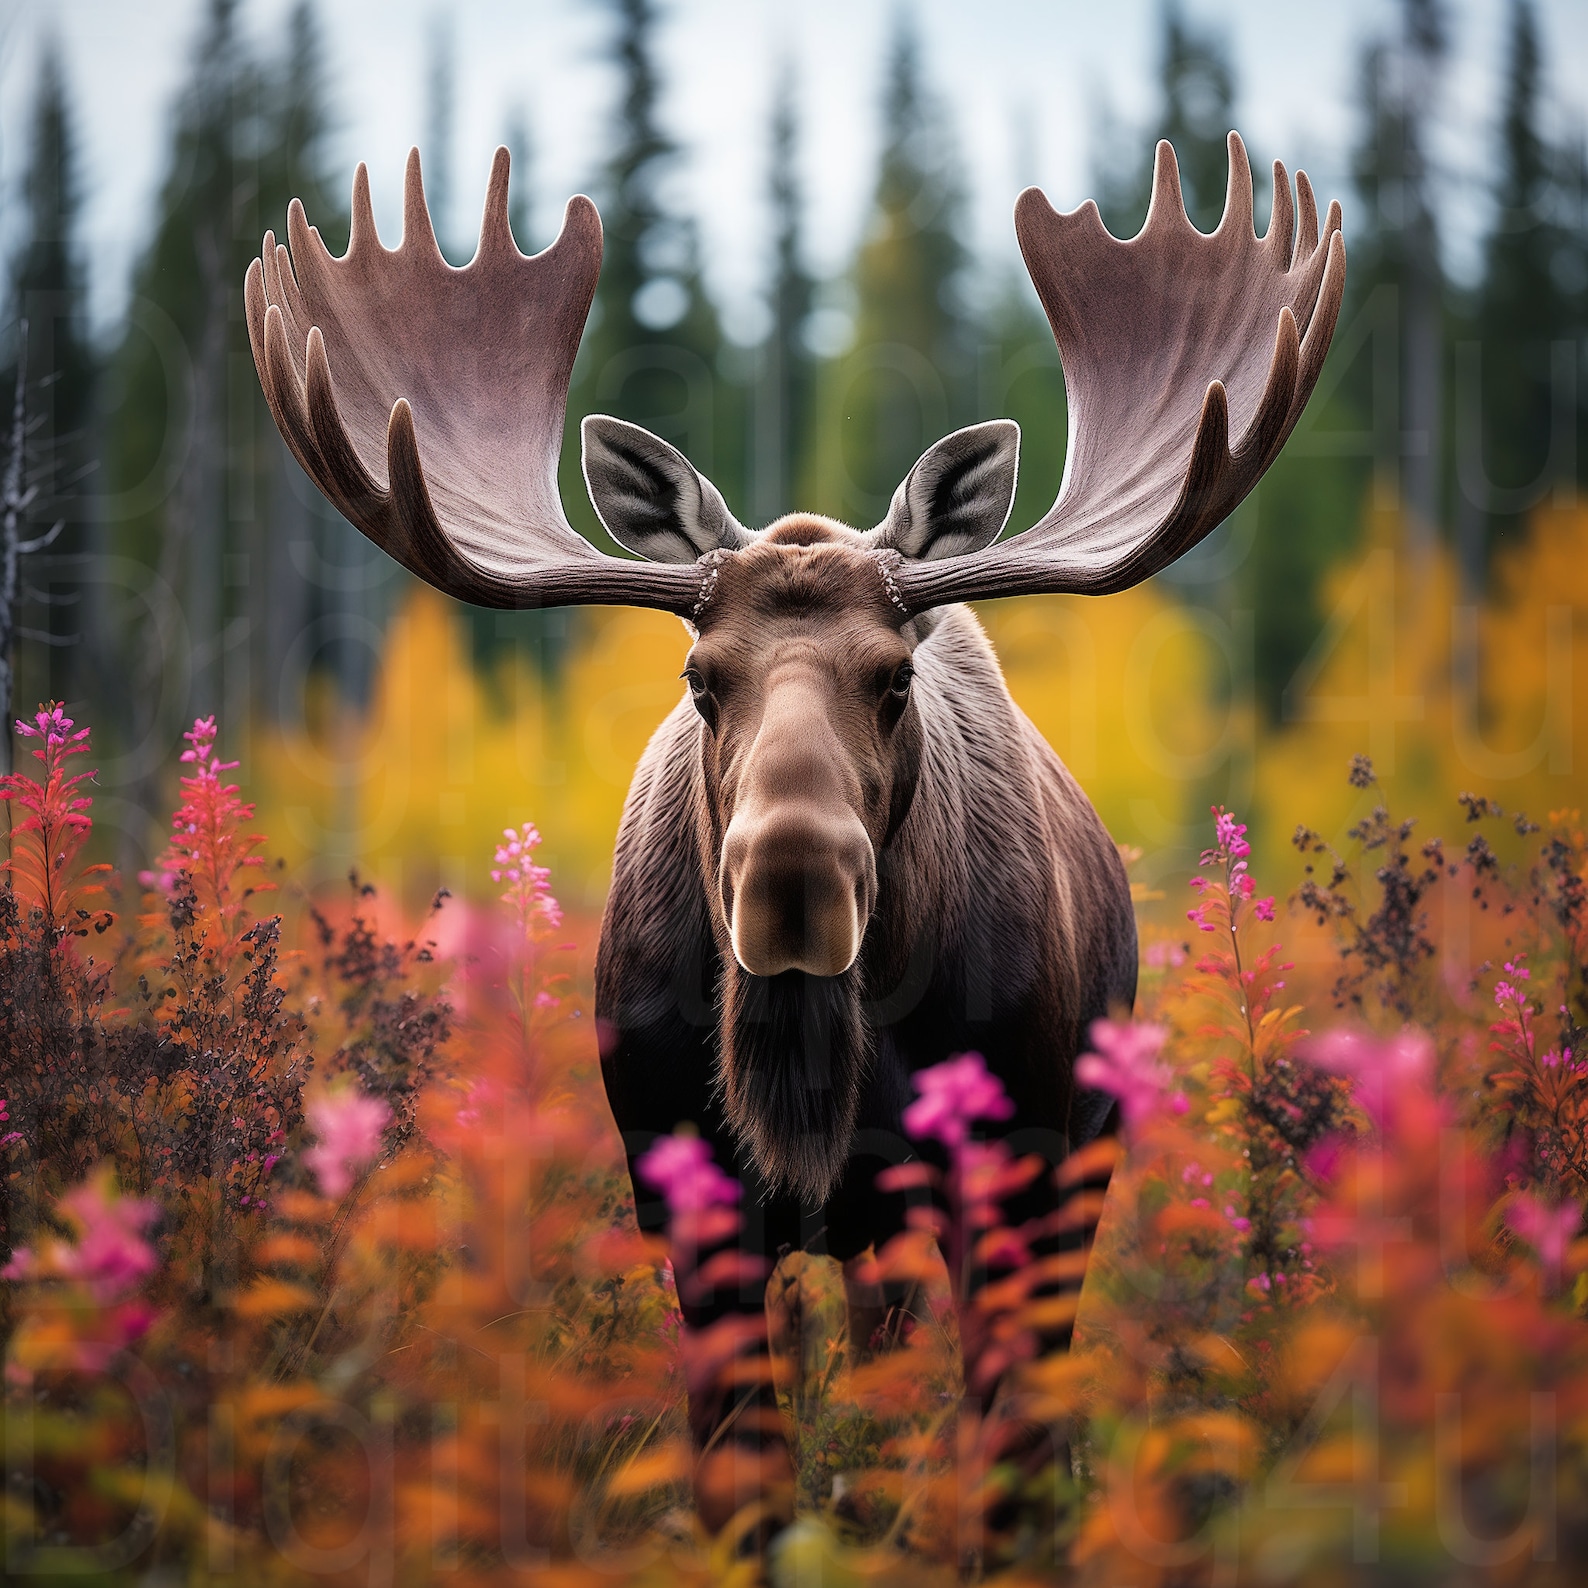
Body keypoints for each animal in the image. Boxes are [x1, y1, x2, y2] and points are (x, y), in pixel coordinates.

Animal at [245, 132, 1344, 1530]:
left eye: (893, 675)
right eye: (699, 677)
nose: (793, 879)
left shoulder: (1017, 1169)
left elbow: (1002, 1459)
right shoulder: (682, 1190)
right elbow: (742, 1481)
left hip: (1071, 1162)